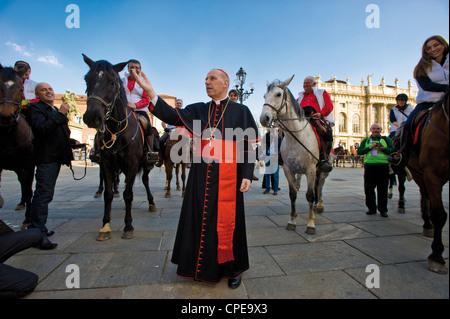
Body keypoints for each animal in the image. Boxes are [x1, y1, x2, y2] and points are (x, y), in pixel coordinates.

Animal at [82, 54, 156, 240]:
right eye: (87, 79)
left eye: (112, 82)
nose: (92, 116)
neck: (117, 130)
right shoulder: (107, 162)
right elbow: (108, 194)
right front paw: (105, 226)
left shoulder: (132, 163)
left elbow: (128, 194)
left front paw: (128, 226)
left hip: (145, 163)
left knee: (145, 181)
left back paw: (151, 202)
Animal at [260, 76, 330, 234]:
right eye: (264, 96)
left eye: (278, 94)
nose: (264, 118)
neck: (296, 137)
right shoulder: (288, 169)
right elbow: (293, 194)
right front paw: (292, 221)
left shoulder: (310, 169)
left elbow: (310, 195)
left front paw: (311, 224)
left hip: (322, 169)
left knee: (320, 185)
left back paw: (320, 204)